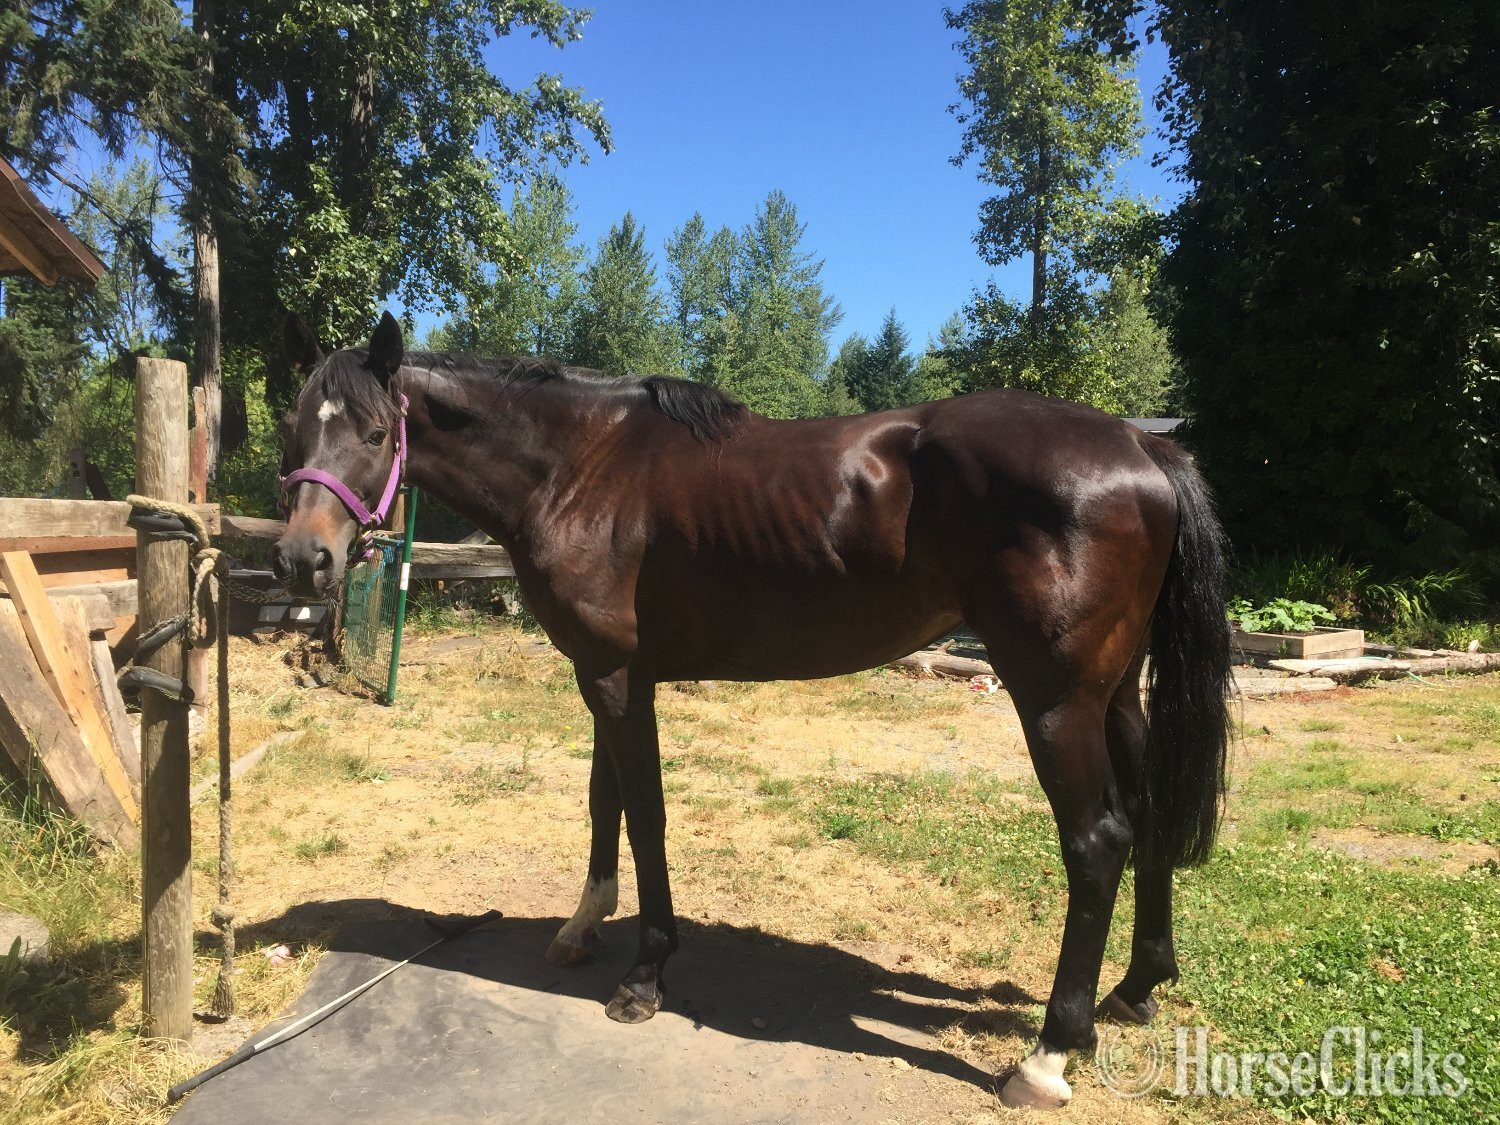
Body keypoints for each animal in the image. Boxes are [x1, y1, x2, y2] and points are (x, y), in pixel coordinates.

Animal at [271, 311, 1232, 1110]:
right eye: (295, 429)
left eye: (373, 432)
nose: (301, 562)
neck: (581, 466)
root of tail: (1142, 449)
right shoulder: (603, 671)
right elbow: (603, 801)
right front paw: (582, 926)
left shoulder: (618, 677)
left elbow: (645, 814)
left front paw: (645, 973)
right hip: (1116, 692)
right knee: (1146, 816)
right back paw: (1136, 989)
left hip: (1056, 699)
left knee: (1096, 840)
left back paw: (1048, 1054)